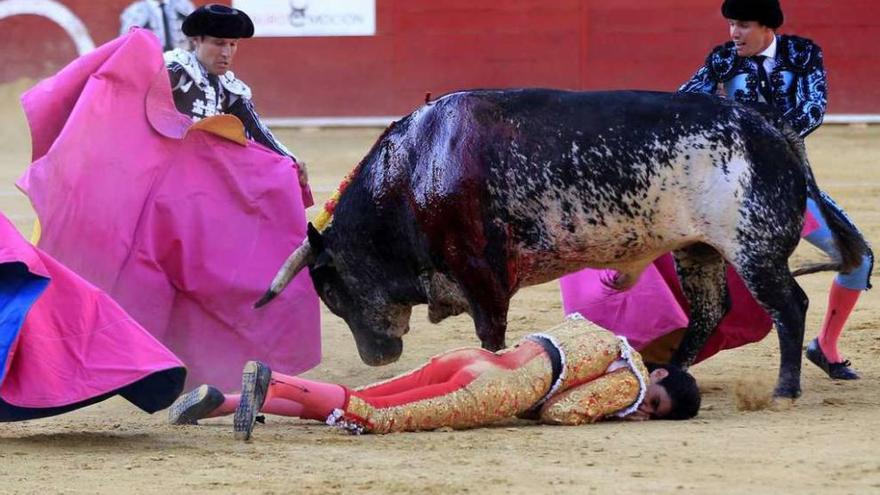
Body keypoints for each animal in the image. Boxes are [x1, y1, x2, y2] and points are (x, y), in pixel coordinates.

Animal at [254, 89, 868, 400]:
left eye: (329, 286)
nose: (376, 357)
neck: (414, 170)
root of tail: (772, 126)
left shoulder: (481, 271)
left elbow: (491, 333)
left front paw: (499, 370)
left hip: (753, 248)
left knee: (790, 305)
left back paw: (785, 387)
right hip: (700, 249)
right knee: (710, 311)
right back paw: (670, 373)